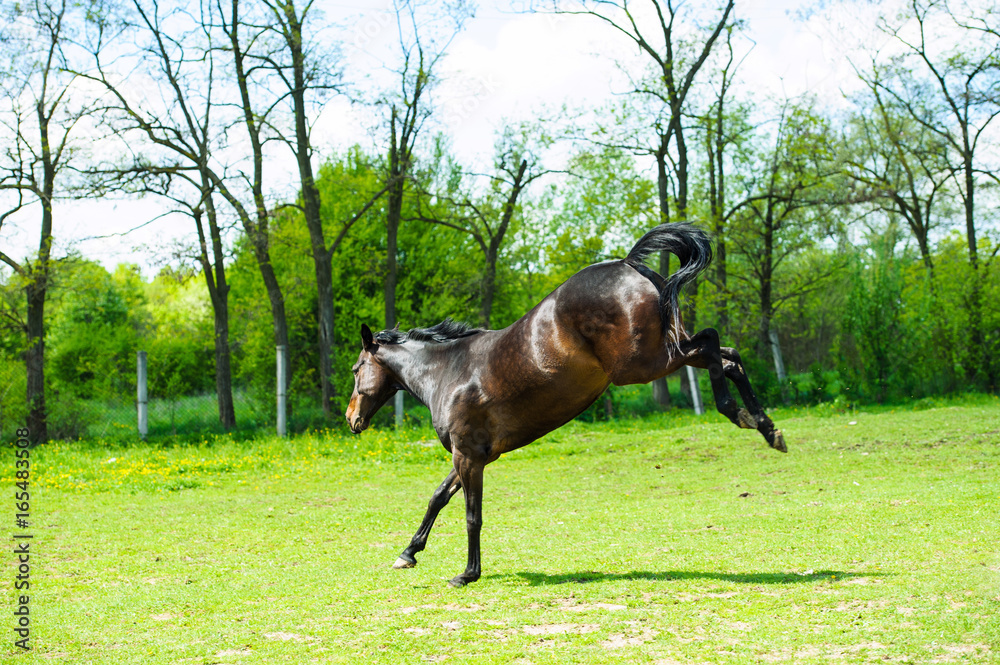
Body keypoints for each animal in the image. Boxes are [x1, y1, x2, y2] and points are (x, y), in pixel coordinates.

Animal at [348, 223, 784, 588]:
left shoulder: (468, 456)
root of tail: (628, 263)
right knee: (728, 357)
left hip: (647, 362)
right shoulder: (473, 455)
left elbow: (472, 514)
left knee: (712, 345)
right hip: (666, 349)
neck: (448, 372)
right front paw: (408, 554)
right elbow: (438, 497)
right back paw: (767, 427)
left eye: (356, 369)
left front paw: (467, 574)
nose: (352, 418)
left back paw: (739, 414)